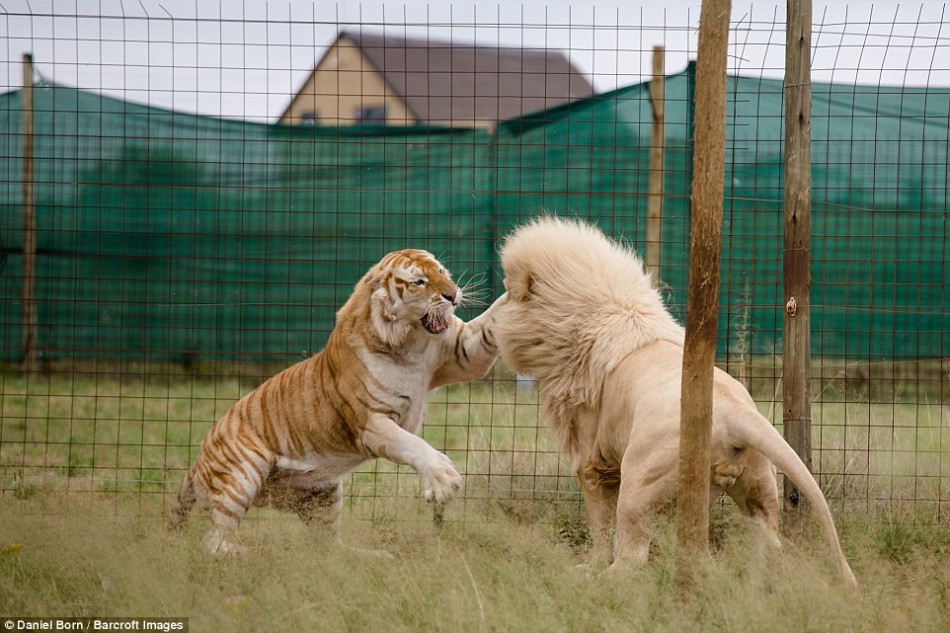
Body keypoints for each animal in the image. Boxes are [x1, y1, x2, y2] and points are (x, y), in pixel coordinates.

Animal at [171, 247, 512, 552]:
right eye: (419, 282)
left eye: (442, 272)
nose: (453, 296)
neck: (412, 342)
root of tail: (196, 462)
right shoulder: (372, 423)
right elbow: (413, 445)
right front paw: (443, 480)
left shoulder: (462, 352)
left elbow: (493, 318)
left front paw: (518, 282)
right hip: (242, 473)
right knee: (215, 540)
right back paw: (242, 554)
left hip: (324, 493)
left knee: (327, 548)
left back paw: (371, 556)